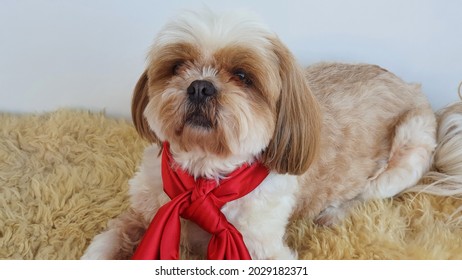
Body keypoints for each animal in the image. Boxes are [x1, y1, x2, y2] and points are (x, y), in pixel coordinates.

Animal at [82, 9, 462, 260]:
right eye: (177, 66)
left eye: (242, 75)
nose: (201, 86)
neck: (205, 178)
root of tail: (410, 85)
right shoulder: (142, 214)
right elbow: (105, 244)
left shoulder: (259, 247)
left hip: (410, 146)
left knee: (371, 194)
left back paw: (334, 213)